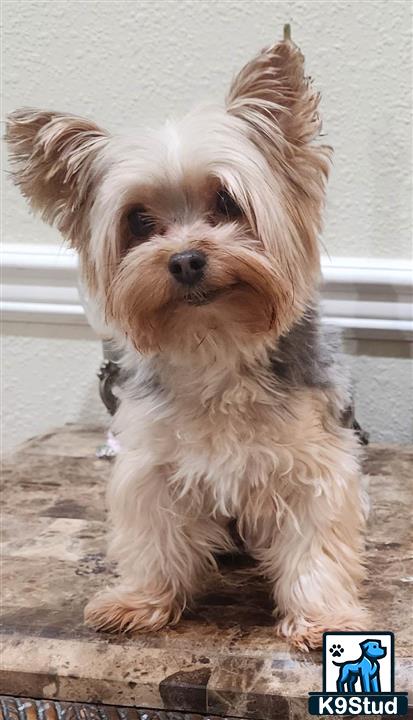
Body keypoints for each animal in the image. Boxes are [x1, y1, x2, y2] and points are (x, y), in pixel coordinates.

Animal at [6, 31, 366, 648]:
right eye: (138, 221)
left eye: (226, 201)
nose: (185, 259)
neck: (215, 342)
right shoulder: (151, 465)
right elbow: (154, 537)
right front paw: (142, 600)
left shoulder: (315, 464)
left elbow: (316, 546)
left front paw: (324, 617)